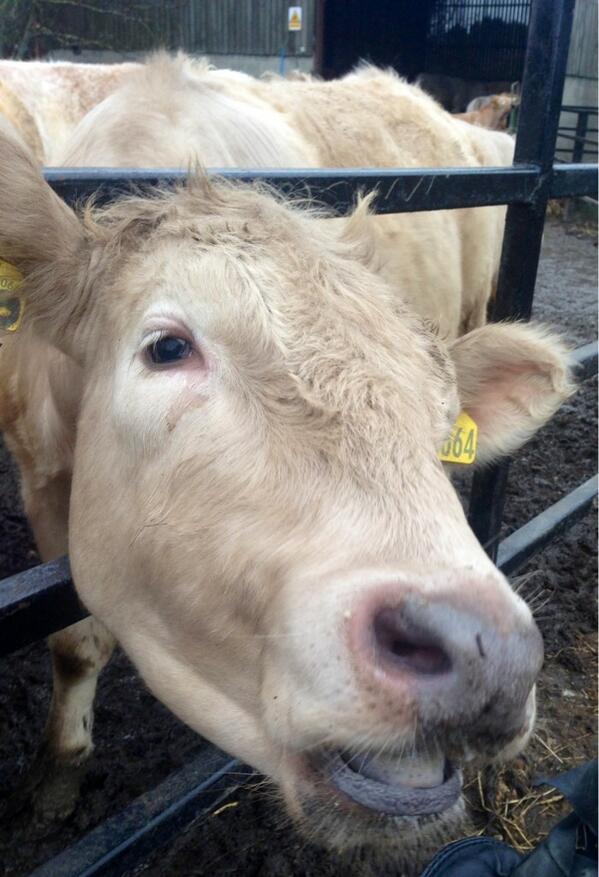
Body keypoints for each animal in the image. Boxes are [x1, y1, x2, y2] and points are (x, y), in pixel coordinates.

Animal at [0, 98, 573, 870]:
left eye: (442, 409)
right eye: (167, 348)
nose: (492, 658)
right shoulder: (42, 475)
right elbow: (73, 645)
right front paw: (58, 780)